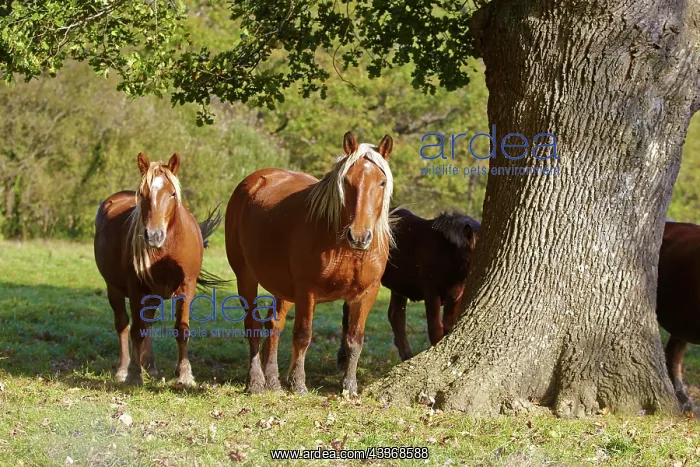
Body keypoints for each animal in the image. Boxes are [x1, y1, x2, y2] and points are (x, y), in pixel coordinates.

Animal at [94, 153, 225, 386]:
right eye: (142, 194)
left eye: (172, 193)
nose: (154, 236)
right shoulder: (137, 290)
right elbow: (136, 330)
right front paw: (134, 374)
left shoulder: (186, 287)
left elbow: (181, 329)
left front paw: (184, 375)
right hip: (114, 289)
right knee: (123, 324)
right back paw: (123, 369)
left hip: (152, 296)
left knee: (147, 324)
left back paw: (151, 367)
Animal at [225, 132, 394, 395]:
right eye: (347, 181)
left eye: (382, 182)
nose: (359, 236)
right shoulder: (307, 292)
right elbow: (303, 335)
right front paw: (298, 383)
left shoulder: (367, 294)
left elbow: (355, 340)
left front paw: (349, 385)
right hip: (246, 276)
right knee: (252, 323)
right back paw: (256, 382)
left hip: (283, 287)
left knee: (273, 324)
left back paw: (273, 381)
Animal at [337, 208, 480, 364]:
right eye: (467, 258)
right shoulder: (431, 292)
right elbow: (435, 328)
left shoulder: (456, 296)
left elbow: (448, 326)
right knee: (349, 311)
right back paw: (342, 357)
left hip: (399, 285)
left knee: (395, 316)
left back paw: (407, 355)